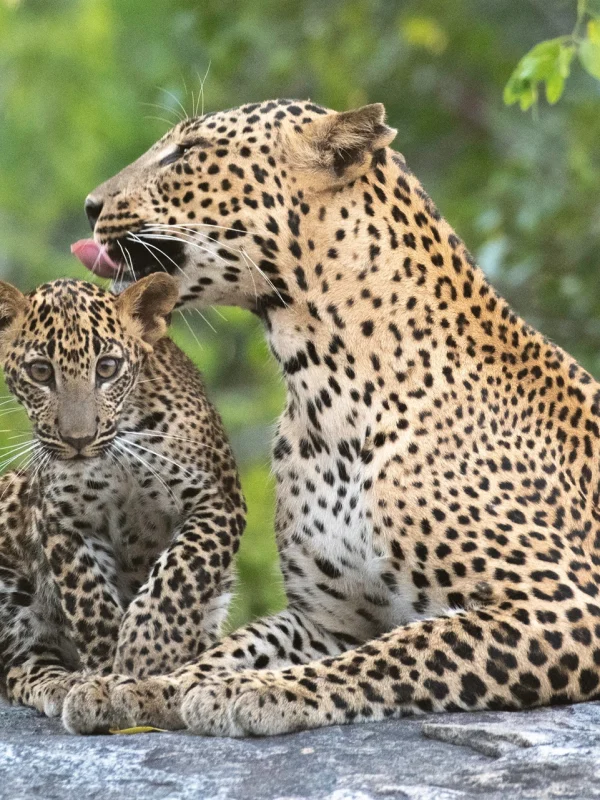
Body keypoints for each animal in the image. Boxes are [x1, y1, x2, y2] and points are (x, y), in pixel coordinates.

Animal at [0, 273, 245, 718]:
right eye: (40, 371)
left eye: (107, 368)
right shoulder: (61, 520)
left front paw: (145, 654)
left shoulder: (217, 500)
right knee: (20, 664)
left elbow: (180, 573)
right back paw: (61, 683)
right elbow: (89, 600)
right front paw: (105, 674)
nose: (78, 441)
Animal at [64, 98, 600, 736]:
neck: (321, 388)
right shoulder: (330, 617)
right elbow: (238, 644)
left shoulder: (563, 602)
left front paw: (252, 691)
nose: (90, 205)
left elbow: (399, 652)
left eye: (187, 152)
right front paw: (140, 686)